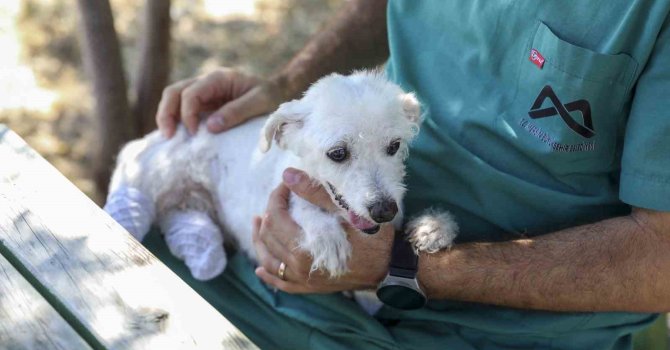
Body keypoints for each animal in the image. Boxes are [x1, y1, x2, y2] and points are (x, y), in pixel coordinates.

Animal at [105, 71, 460, 282]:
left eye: (394, 146)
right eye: (338, 153)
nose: (384, 211)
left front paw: (433, 228)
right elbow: (304, 209)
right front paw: (326, 237)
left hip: (187, 206)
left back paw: (203, 252)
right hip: (151, 175)